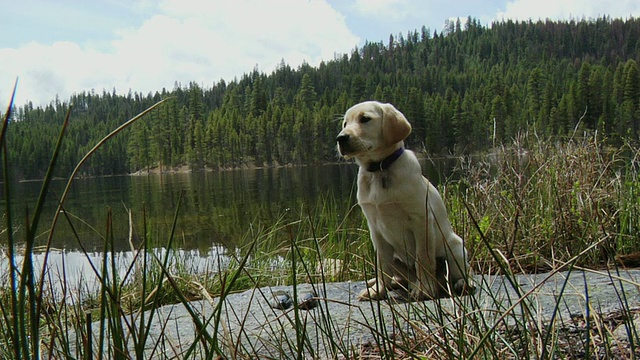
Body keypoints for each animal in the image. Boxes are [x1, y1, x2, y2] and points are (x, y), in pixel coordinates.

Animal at [338, 100, 472, 300]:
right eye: (345, 123)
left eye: (365, 119)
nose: (340, 138)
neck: (380, 169)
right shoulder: (375, 229)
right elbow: (381, 265)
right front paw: (378, 290)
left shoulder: (421, 220)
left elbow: (423, 257)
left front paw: (424, 290)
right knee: (400, 276)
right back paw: (392, 283)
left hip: (456, 249)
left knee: (461, 272)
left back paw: (459, 284)